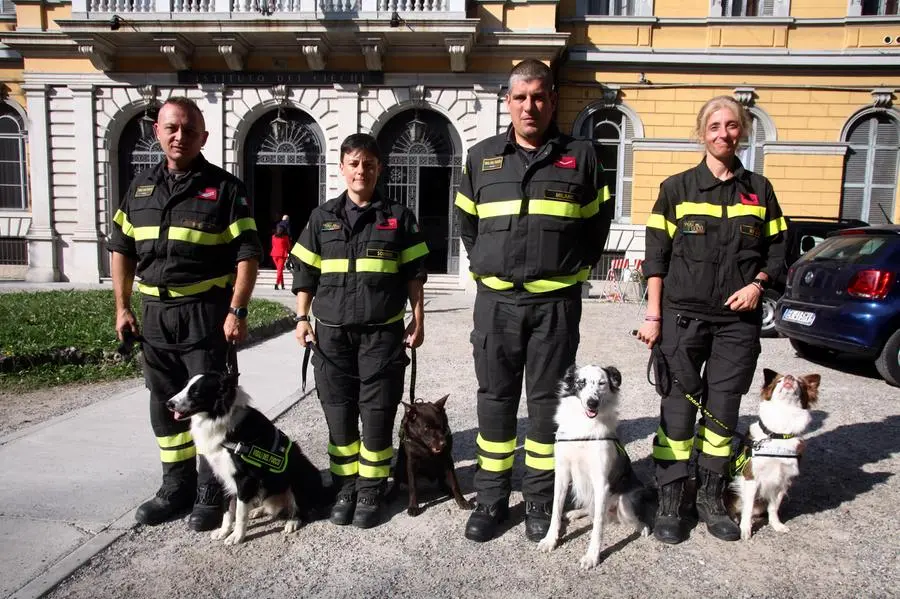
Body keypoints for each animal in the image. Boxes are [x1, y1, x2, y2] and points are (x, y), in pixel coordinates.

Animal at [732, 368, 824, 540]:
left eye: (799, 382)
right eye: (779, 381)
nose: (789, 377)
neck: (779, 434)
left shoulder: (783, 480)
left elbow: (774, 507)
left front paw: (776, 525)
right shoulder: (751, 476)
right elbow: (748, 507)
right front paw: (745, 529)